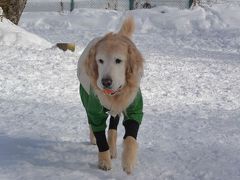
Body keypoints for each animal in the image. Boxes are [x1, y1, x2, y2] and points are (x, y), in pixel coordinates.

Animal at [78, 16, 143, 174]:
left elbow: (131, 137)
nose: (106, 82)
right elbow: (101, 138)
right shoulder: (94, 110)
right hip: (86, 99)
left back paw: (113, 150)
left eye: (118, 60)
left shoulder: (134, 107)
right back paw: (95, 140)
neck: (116, 93)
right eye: (100, 60)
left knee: (113, 129)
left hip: (114, 112)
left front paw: (128, 161)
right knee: (91, 124)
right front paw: (104, 162)